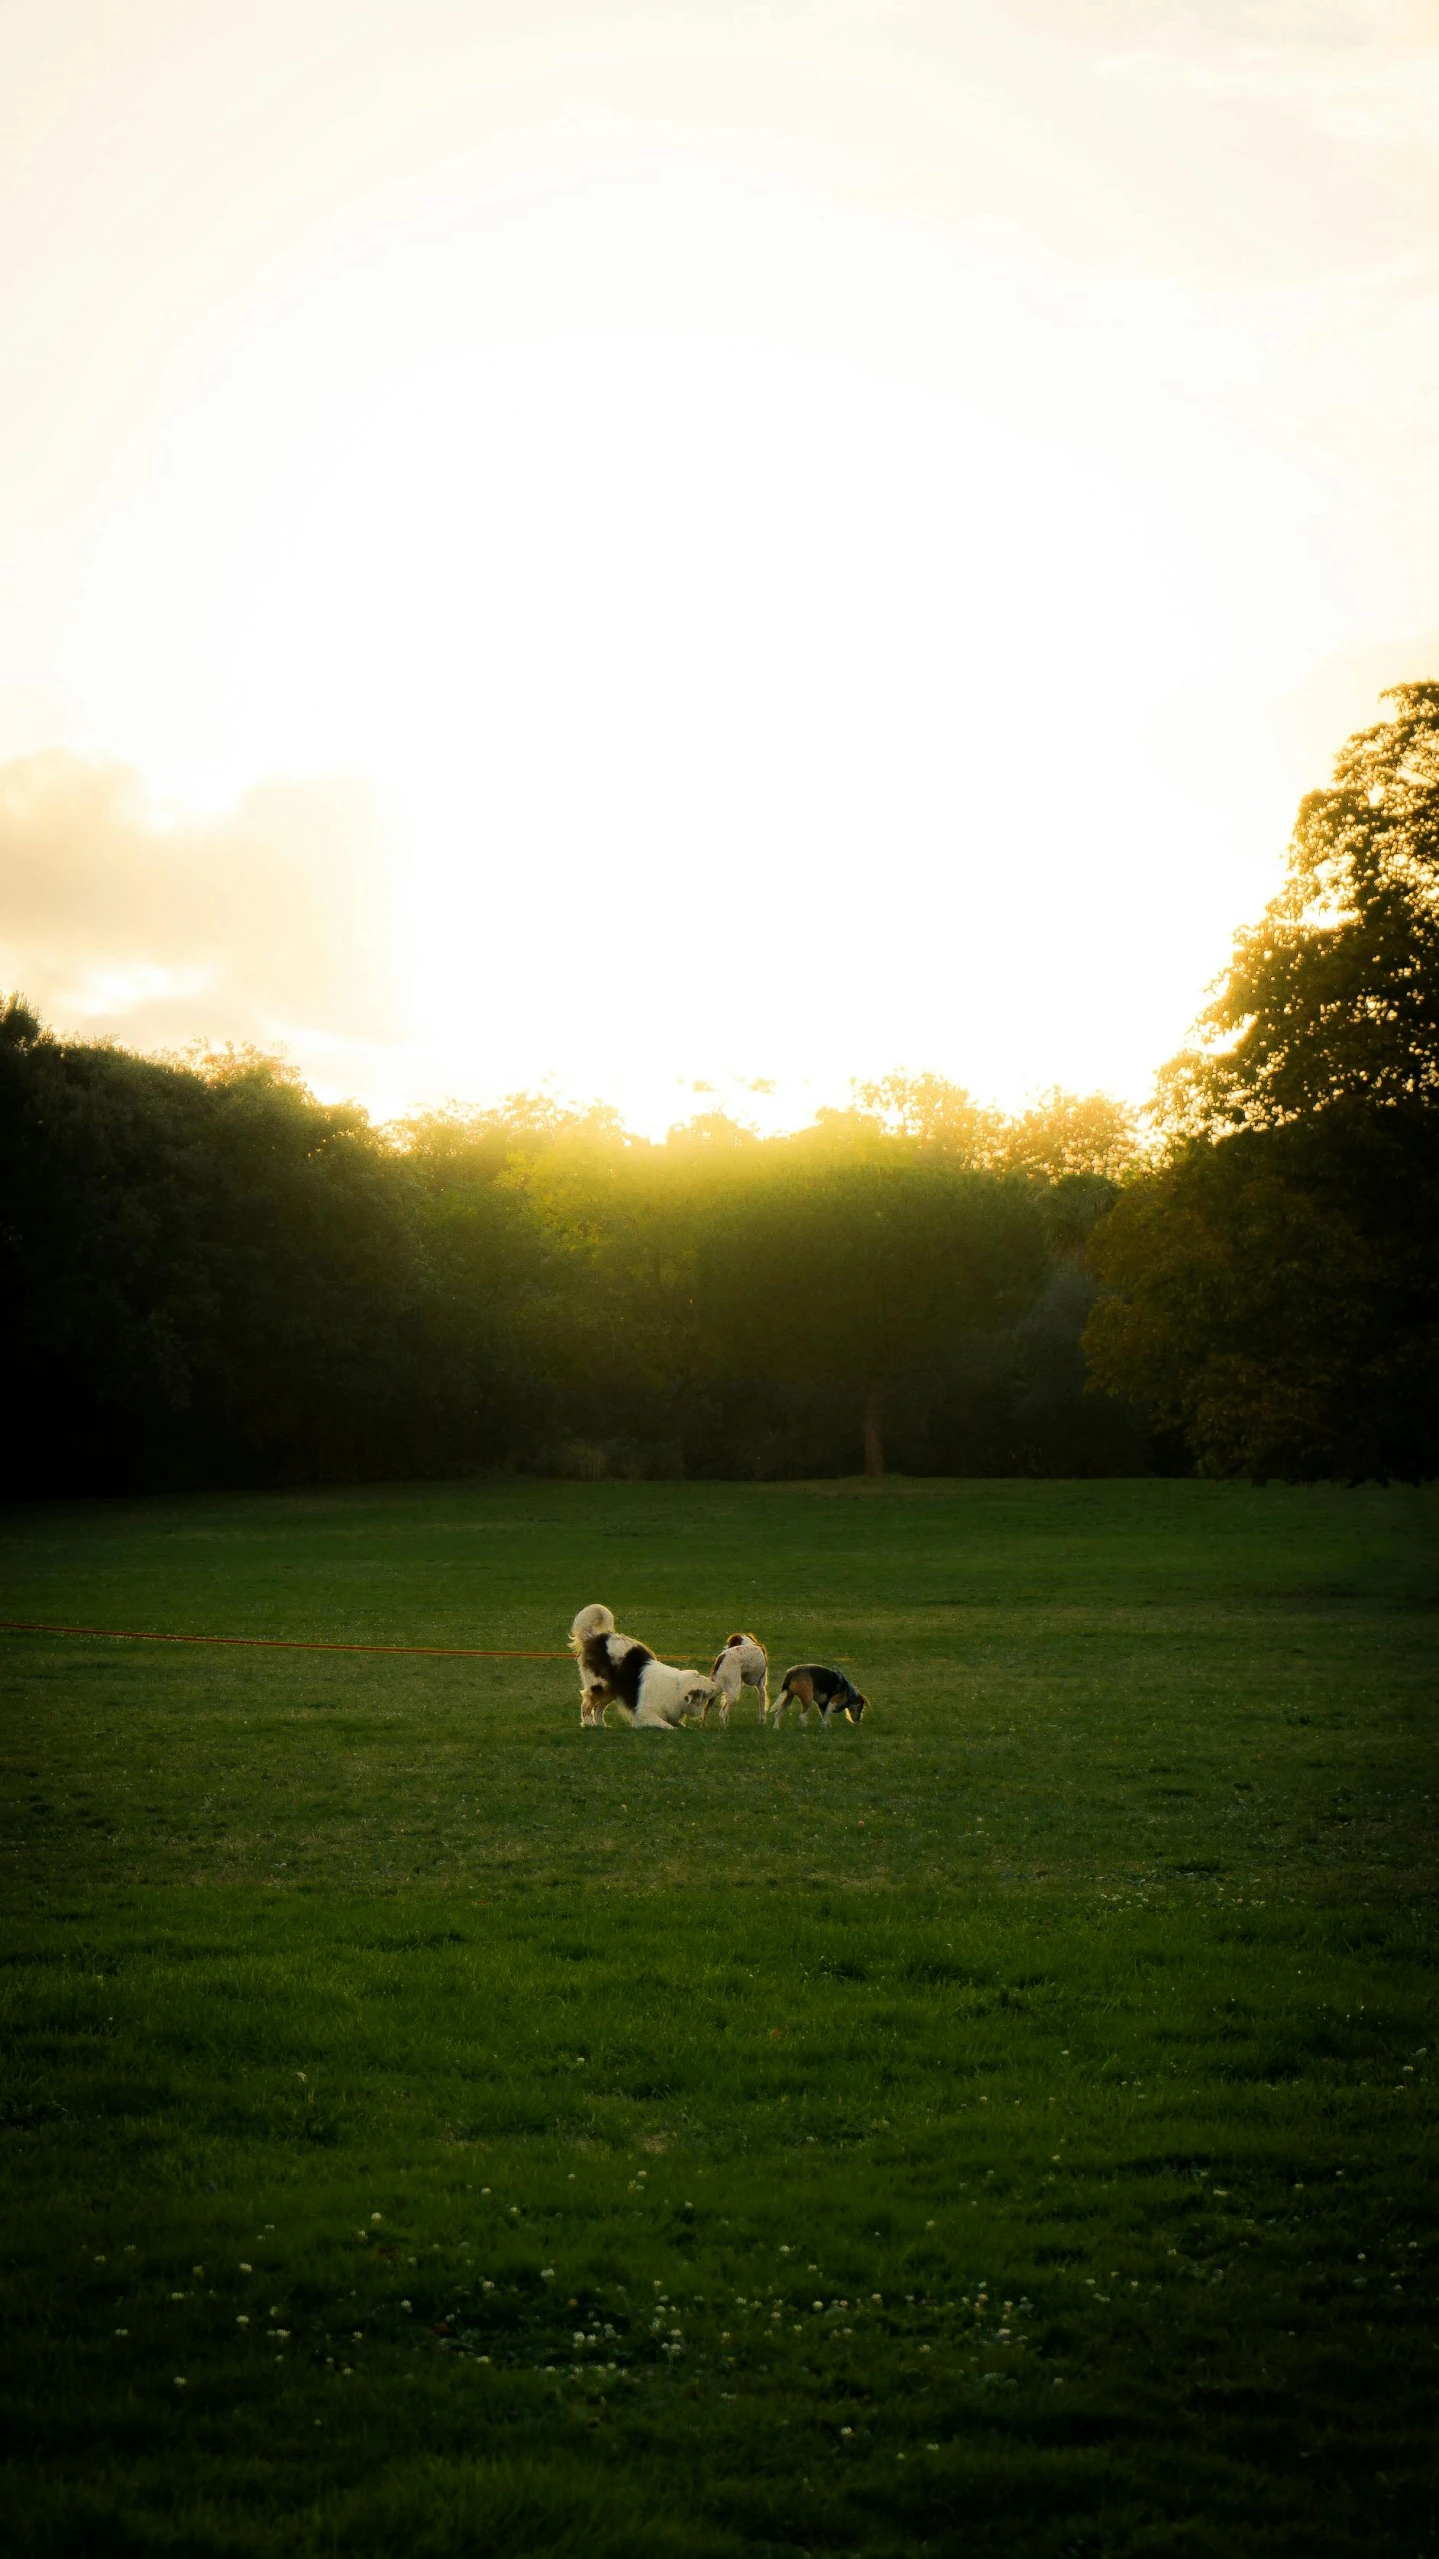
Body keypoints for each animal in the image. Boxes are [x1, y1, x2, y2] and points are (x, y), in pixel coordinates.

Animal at [565, 1596, 711, 1740]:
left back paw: (603, 1727)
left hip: (613, 1689)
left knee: (598, 1708)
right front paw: (674, 1730)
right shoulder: (644, 1713)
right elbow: (666, 1725)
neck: (676, 1688)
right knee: (587, 1705)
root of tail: (594, 1637)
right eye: (705, 1692)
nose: (715, 1684)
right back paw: (589, 1724)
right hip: (601, 1685)